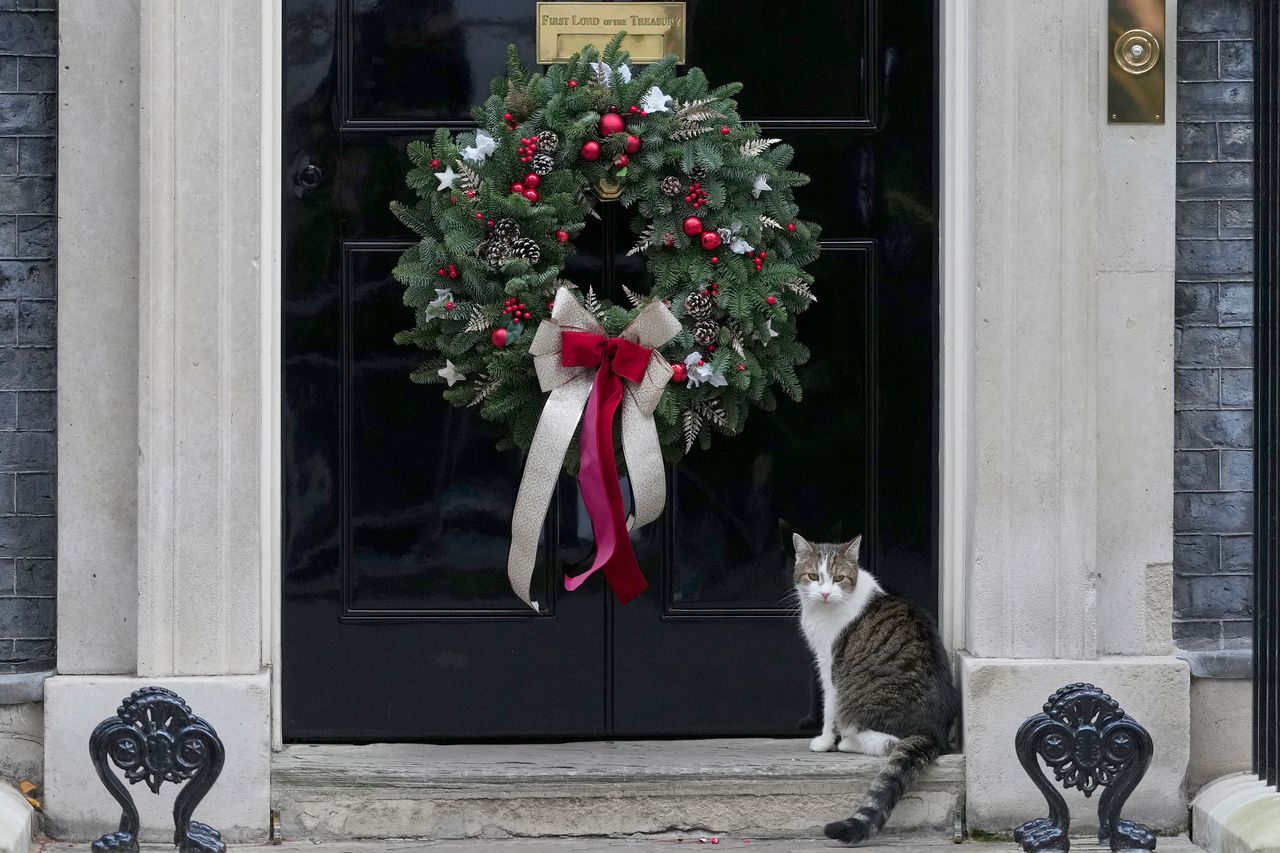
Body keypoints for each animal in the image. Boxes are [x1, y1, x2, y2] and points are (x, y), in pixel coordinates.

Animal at [788, 532, 962, 845]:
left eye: (839, 577)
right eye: (813, 576)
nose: (825, 593)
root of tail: (933, 730)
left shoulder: (829, 665)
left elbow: (828, 707)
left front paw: (824, 741)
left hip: (857, 701)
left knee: (885, 741)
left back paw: (846, 742)